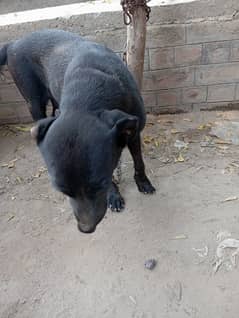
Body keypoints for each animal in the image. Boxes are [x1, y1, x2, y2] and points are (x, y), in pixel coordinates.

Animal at [0, 29, 155, 234]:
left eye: (99, 184)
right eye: (63, 191)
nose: (86, 229)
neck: (87, 95)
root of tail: (13, 43)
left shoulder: (134, 132)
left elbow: (139, 161)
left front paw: (143, 183)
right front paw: (113, 195)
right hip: (33, 100)